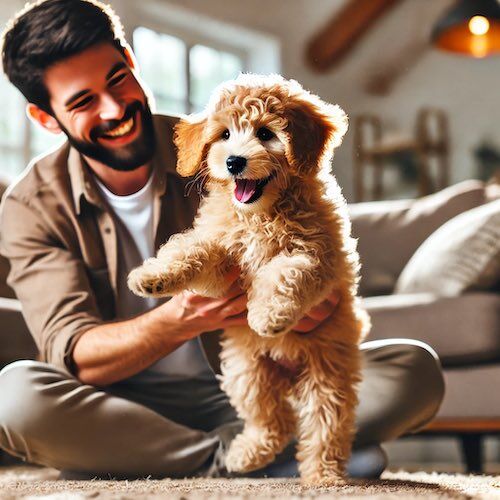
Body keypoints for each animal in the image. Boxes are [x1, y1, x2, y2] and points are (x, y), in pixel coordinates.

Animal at [128, 73, 372, 484]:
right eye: (224, 134)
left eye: (265, 133)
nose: (233, 161)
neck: (261, 214)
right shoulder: (222, 254)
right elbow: (191, 248)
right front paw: (153, 276)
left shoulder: (319, 257)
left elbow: (288, 271)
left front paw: (269, 314)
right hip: (247, 373)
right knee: (273, 418)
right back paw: (246, 455)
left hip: (328, 373)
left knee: (324, 426)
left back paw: (323, 477)